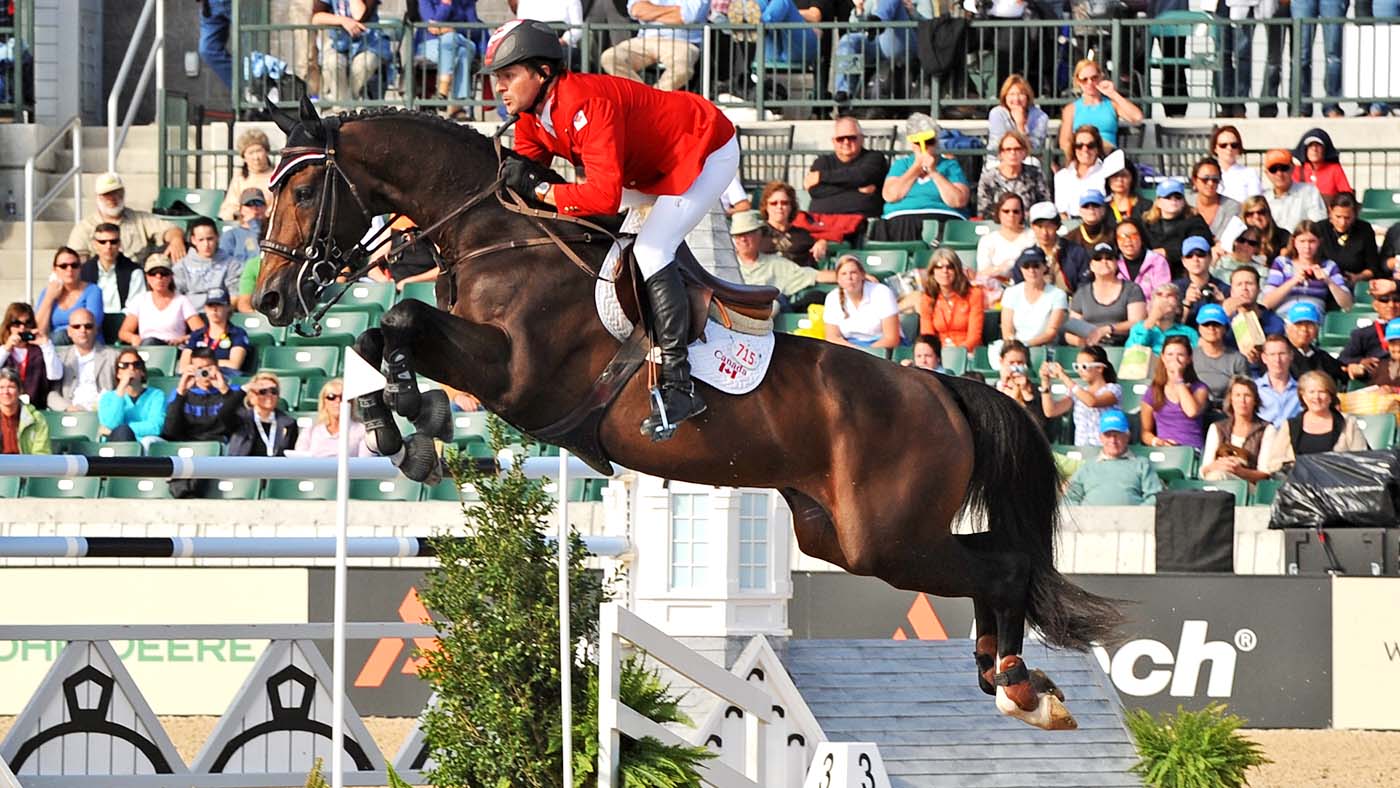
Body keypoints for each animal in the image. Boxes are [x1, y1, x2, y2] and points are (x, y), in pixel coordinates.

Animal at [257, 98, 1120, 733]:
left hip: (887, 536)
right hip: (846, 535)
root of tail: (941, 390)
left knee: (1003, 567)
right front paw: (394, 425)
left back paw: (1022, 686)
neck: (496, 237)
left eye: (301, 192)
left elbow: (400, 319)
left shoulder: (518, 376)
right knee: (992, 560)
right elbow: (381, 333)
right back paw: (1006, 677)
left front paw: (416, 417)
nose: (269, 300)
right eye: (267, 191)